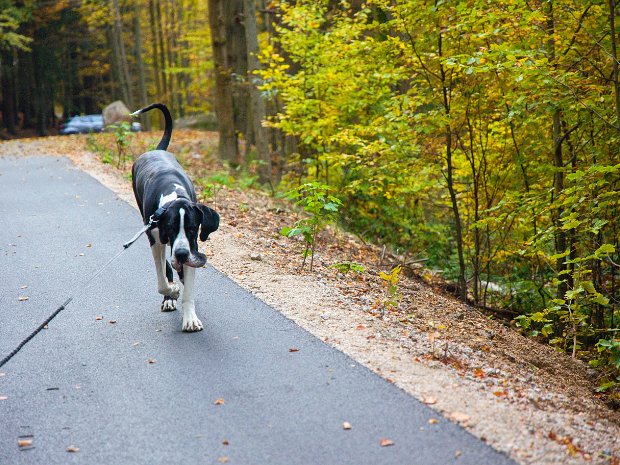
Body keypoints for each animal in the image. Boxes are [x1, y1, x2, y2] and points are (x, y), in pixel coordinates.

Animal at [130, 103, 219, 332]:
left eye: (192, 228)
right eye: (170, 227)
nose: (180, 253)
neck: (173, 194)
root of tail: (157, 150)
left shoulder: (192, 246)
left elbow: (188, 287)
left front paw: (190, 318)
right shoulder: (156, 239)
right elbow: (162, 281)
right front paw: (172, 292)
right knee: (165, 268)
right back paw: (170, 295)